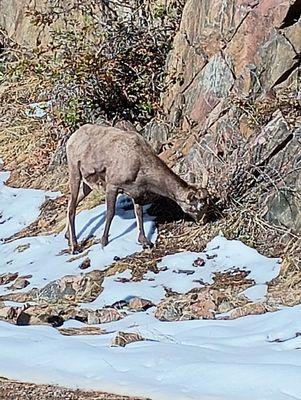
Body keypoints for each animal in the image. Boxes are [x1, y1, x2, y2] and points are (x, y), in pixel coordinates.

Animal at [64, 123, 207, 252]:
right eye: (195, 207)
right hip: (75, 173)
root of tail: (72, 138)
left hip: (87, 186)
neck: (139, 163)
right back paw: (74, 246)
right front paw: (104, 242)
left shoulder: (136, 193)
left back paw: (67, 237)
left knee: (72, 203)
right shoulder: (112, 186)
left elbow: (139, 213)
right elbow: (110, 213)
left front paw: (145, 241)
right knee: (72, 208)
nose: (202, 221)